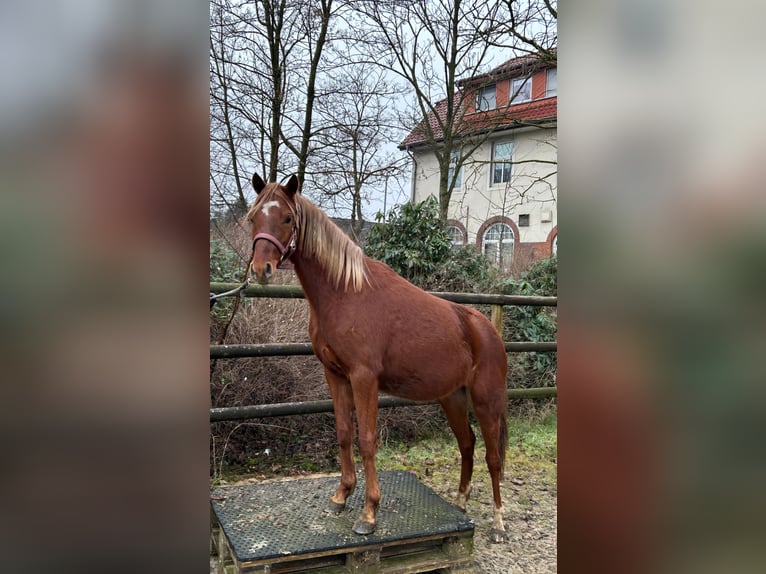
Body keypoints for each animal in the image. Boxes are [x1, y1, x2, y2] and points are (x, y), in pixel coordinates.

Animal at [246, 176, 510, 544]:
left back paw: (499, 522)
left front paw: (369, 513)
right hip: (453, 399)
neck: (345, 292)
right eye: (254, 217)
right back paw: (459, 503)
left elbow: (367, 440)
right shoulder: (335, 375)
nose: (262, 269)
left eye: (286, 218)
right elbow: (344, 432)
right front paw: (341, 495)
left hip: (487, 401)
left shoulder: (363, 378)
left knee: (493, 456)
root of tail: (487, 329)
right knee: (467, 444)